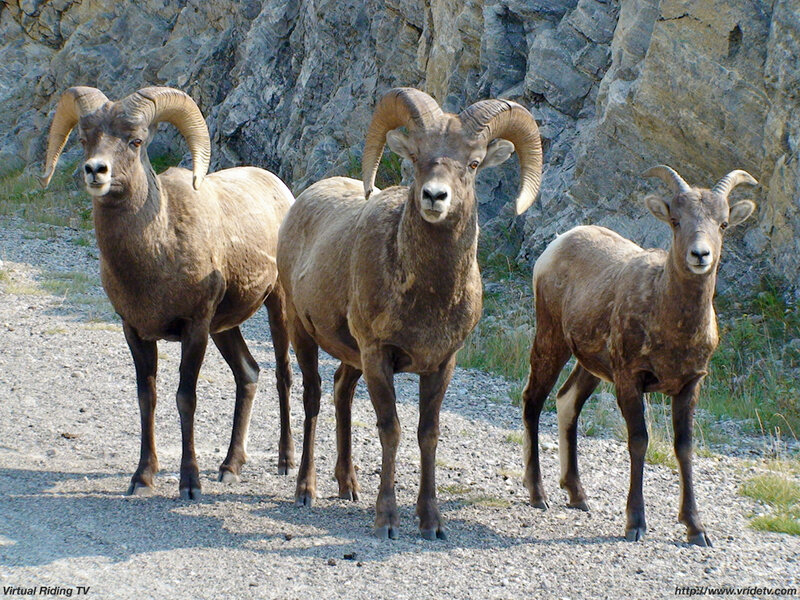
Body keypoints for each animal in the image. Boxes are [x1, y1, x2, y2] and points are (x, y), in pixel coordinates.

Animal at [39, 86, 296, 499]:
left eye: (136, 141)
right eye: (83, 139)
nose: (96, 171)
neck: (158, 250)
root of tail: (280, 190)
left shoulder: (194, 330)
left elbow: (185, 398)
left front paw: (190, 484)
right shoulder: (135, 332)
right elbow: (148, 399)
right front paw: (142, 478)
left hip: (277, 308)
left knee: (283, 376)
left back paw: (286, 463)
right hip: (225, 328)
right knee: (248, 374)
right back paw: (230, 467)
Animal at [277, 87, 543, 540]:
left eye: (473, 163)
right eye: (417, 157)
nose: (435, 197)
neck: (427, 298)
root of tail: (303, 201)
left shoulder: (441, 364)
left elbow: (427, 435)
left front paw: (431, 522)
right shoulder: (378, 356)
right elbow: (391, 430)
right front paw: (387, 519)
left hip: (351, 357)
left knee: (341, 392)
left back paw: (348, 485)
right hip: (302, 331)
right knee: (312, 397)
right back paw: (306, 490)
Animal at [521, 165, 757, 546]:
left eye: (723, 223)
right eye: (675, 220)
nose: (700, 255)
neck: (671, 324)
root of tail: (558, 242)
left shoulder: (689, 386)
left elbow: (684, 448)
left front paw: (696, 529)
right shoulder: (630, 381)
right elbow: (639, 442)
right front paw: (636, 524)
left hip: (591, 367)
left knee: (566, 401)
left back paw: (578, 496)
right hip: (551, 339)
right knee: (533, 400)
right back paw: (538, 494)